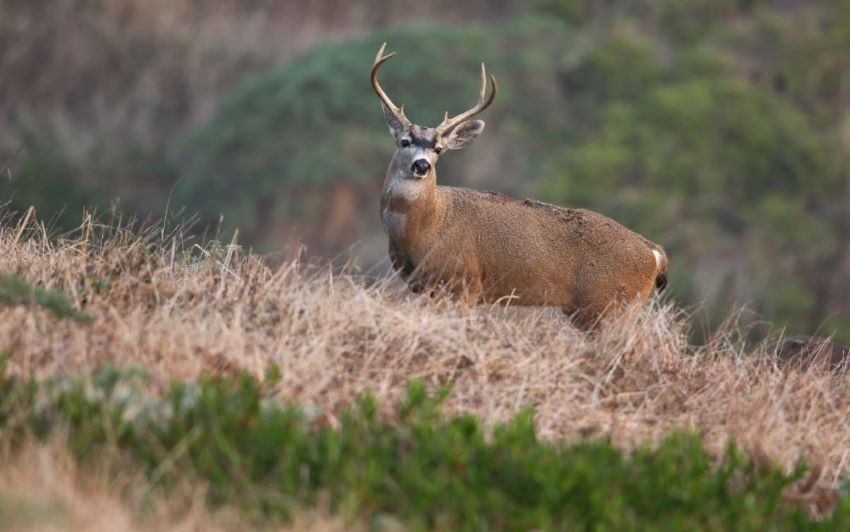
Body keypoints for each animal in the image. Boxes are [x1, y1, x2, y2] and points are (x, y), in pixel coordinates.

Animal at [372, 43, 668, 329]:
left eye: (438, 149)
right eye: (404, 142)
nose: (422, 165)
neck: (427, 225)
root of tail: (654, 253)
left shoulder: (465, 282)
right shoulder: (423, 287)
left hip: (608, 303)